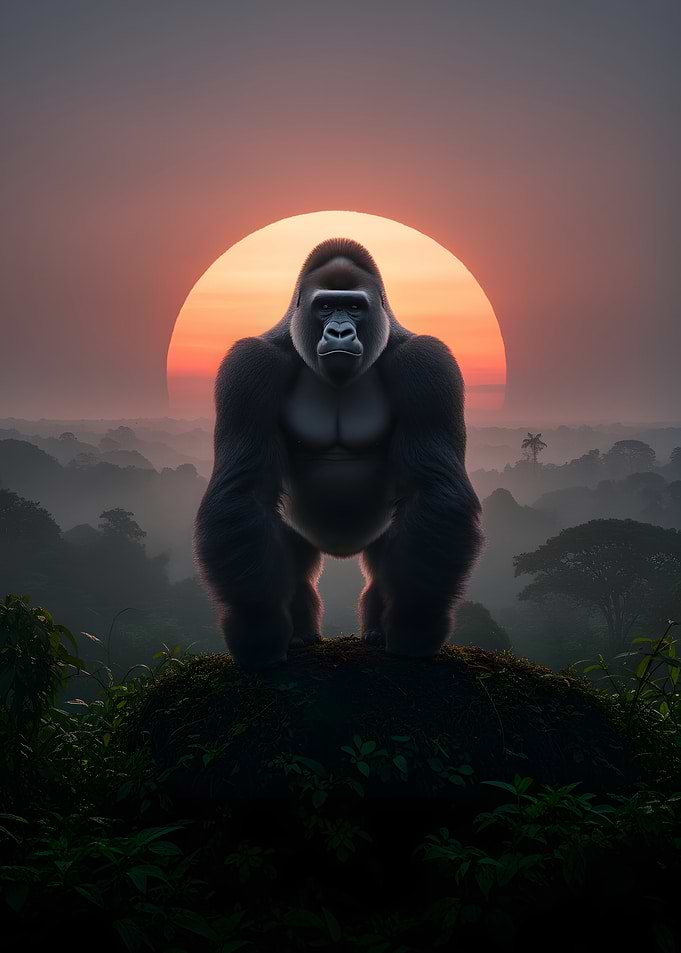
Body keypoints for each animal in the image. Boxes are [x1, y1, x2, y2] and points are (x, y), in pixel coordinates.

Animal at [194, 237, 485, 670]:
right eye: (326, 306)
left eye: (355, 307)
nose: (340, 331)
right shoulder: (249, 366)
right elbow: (244, 492)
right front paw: (258, 628)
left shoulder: (428, 364)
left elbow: (434, 489)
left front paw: (415, 624)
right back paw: (300, 633)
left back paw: (378, 629)